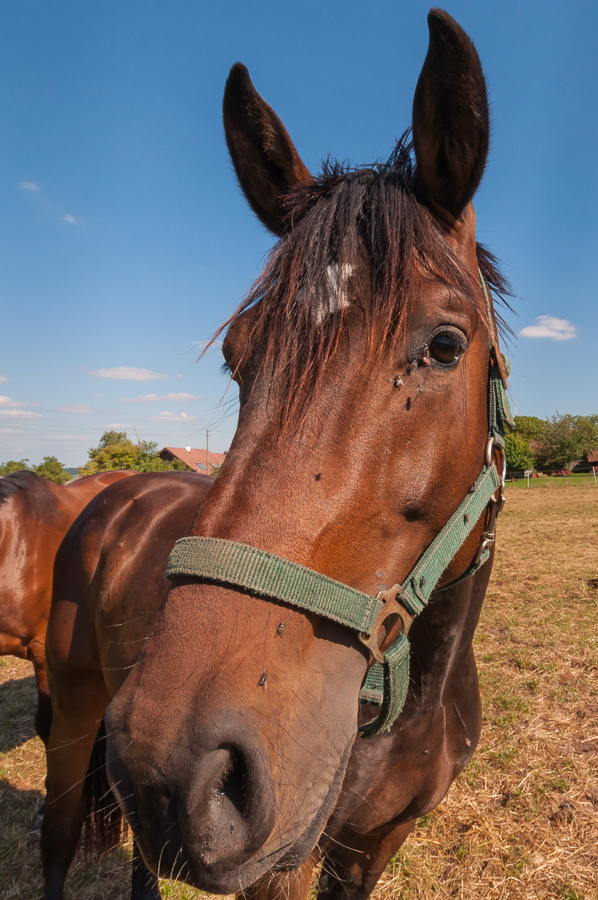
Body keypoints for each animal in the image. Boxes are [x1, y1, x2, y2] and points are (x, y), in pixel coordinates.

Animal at [41, 8, 516, 900]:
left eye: (444, 346)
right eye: (238, 355)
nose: (174, 765)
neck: (418, 693)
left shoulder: (373, 848)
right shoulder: (282, 871)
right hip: (75, 715)